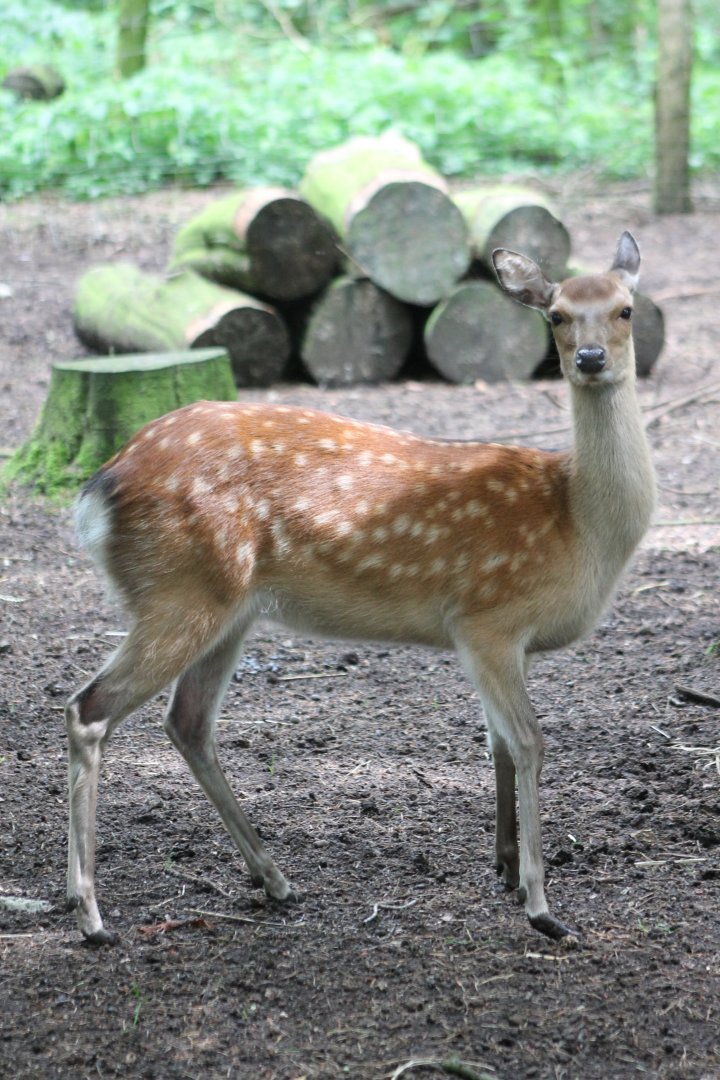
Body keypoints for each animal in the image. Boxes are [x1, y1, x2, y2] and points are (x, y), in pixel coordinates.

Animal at [64, 232, 656, 945]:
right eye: (558, 315)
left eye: (626, 309)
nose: (592, 358)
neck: (577, 520)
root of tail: (99, 488)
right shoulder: (486, 619)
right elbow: (530, 742)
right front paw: (542, 905)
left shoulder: (496, 639)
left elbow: (497, 744)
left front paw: (506, 869)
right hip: (179, 591)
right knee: (89, 709)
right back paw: (91, 913)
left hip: (225, 608)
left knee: (188, 721)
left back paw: (275, 879)